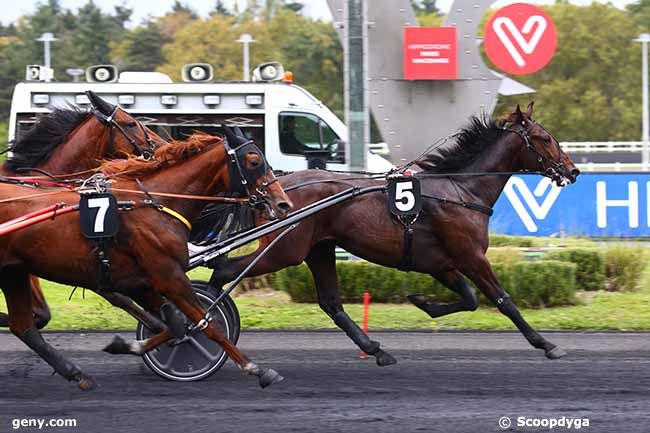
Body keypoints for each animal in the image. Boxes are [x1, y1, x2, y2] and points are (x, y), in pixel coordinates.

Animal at [0, 131, 292, 388]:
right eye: (253, 161)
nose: (283, 204)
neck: (155, 203)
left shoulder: (140, 282)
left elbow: (174, 324)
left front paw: (124, 345)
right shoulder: (169, 277)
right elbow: (204, 323)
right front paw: (257, 369)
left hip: (13, 272)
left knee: (24, 328)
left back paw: (77, 374)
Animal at [206, 104, 576, 364]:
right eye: (544, 138)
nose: (573, 171)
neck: (460, 189)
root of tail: (274, 188)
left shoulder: (440, 263)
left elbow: (470, 300)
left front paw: (423, 302)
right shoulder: (471, 257)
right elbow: (504, 300)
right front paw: (546, 344)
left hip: (319, 249)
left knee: (331, 303)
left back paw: (375, 349)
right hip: (286, 250)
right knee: (223, 269)